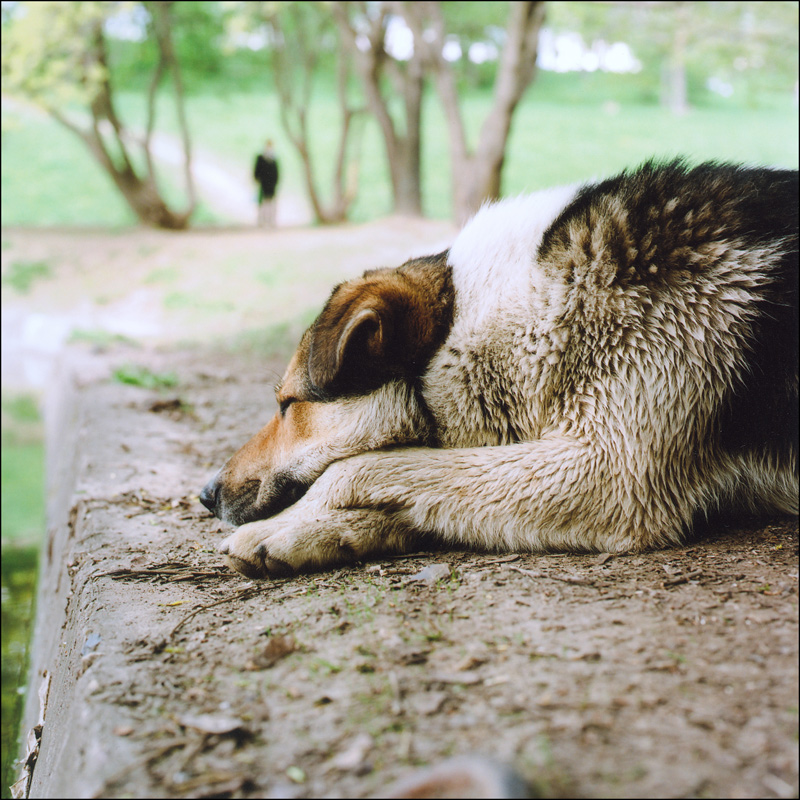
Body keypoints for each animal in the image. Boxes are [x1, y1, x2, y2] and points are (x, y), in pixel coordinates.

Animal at [202, 159, 800, 580]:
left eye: (288, 405)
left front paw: (291, 523)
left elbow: (358, 469)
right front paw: (307, 534)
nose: (204, 494)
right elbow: (406, 484)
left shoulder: (609, 472)